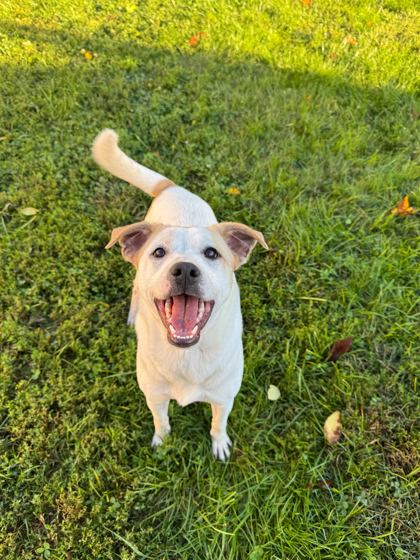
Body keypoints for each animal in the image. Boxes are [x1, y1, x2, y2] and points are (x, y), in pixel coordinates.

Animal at [92, 129, 267, 460]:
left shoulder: (224, 398)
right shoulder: (155, 396)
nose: (185, 269)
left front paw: (219, 444)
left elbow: (218, 423)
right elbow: (161, 421)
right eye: (159, 252)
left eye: (211, 253)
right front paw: (162, 442)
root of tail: (172, 188)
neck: (186, 354)